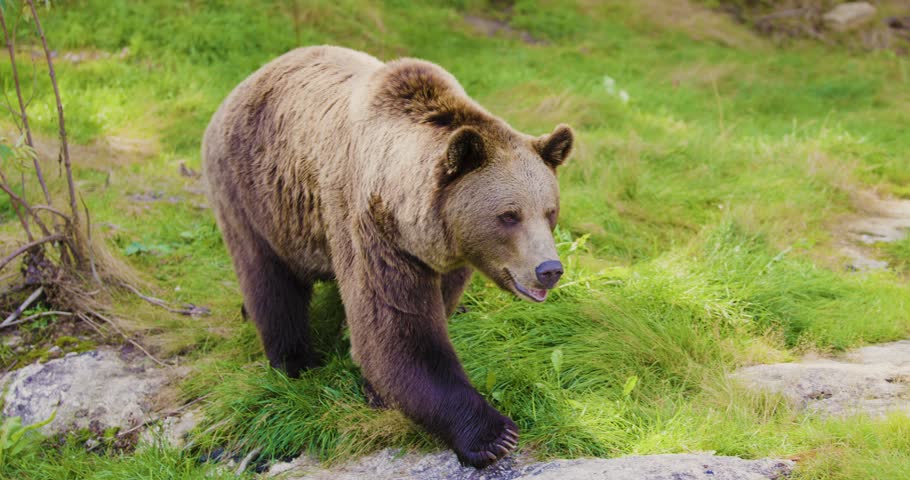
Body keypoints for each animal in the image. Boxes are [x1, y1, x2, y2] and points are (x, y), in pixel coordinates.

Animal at [202, 46, 573, 468]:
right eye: (509, 215)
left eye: (550, 211)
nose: (549, 269)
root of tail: (242, 85)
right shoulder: (370, 231)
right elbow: (396, 332)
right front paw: (494, 434)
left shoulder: (445, 255)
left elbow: (429, 309)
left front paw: (376, 387)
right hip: (253, 196)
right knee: (270, 284)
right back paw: (295, 361)